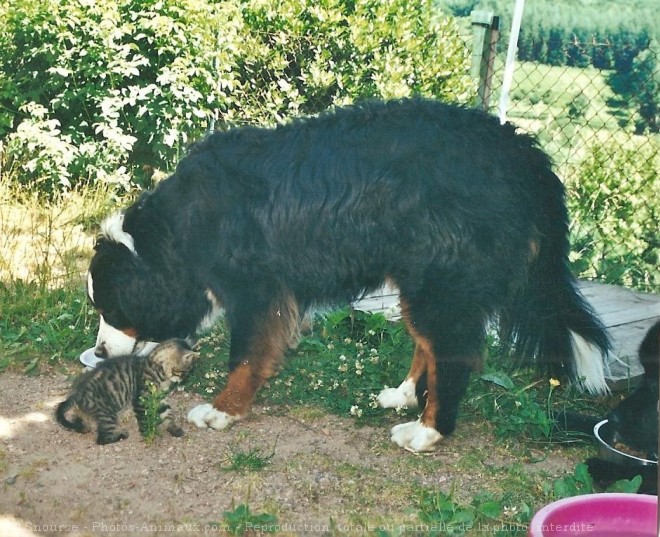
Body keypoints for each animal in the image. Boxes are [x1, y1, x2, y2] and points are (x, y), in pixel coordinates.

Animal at [56, 340, 199, 444]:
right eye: (184, 372)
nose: (184, 379)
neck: (157, 369)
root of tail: (77, 393)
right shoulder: (141, 399)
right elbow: (143, 420)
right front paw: (147, 434)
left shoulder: (159, 398)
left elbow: (168, 413)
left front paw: (173, 428)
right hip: (107, 413)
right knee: (102, 439)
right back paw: (120, 436)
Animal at [85, 98, 612, 450]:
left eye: (112, 309)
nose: (99, 351)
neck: (182, 228)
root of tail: (523, 154)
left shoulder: (257, 292)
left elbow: (246, 358)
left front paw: (222, 410)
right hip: (417, 280)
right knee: (427, 345)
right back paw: (404, 395)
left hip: (440, 284)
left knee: (453, 354)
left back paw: (428, 430)